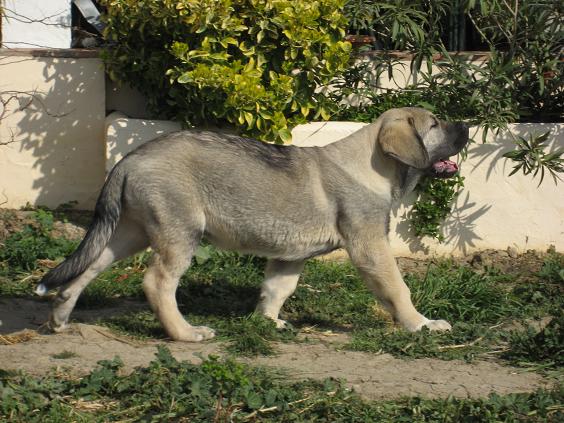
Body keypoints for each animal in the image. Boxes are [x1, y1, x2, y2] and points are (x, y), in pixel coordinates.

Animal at [34, 107, 468, 342]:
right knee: (157, 282)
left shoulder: (291, 256)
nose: (466, 126)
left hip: (129, 233)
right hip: (180, 232)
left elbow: (277, 289)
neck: (374, 163)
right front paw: (420, 324)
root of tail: (129, 159)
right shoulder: (369, 246)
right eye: (435, 125)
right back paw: (185, 334)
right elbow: (398, 288)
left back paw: (60, 317)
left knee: (87, 268)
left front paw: (267, 322)